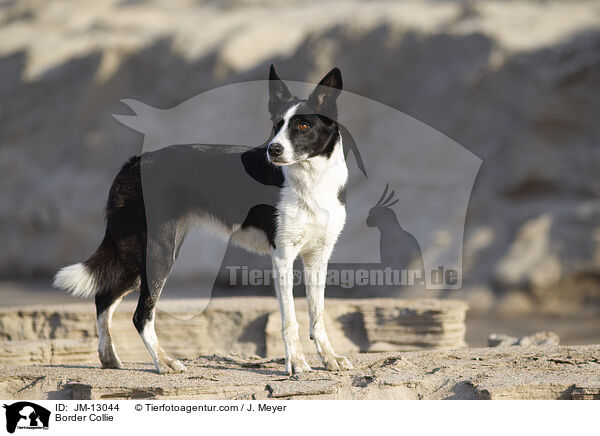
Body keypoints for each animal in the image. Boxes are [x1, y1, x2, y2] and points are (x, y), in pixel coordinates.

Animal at [53, 64, 352, 374]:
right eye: (276, 126)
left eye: (302, 126)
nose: (273, 150)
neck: (311, 180)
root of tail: (134, 163)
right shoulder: (282, 256)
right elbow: (290, 319)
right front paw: (296, 362)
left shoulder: (318, 257)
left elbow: (318, 315)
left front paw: (329, 358)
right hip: (157, 253)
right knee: (140, 315)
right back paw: (163, 362)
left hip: (139, 259)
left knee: (105, 297)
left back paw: (109, 358)